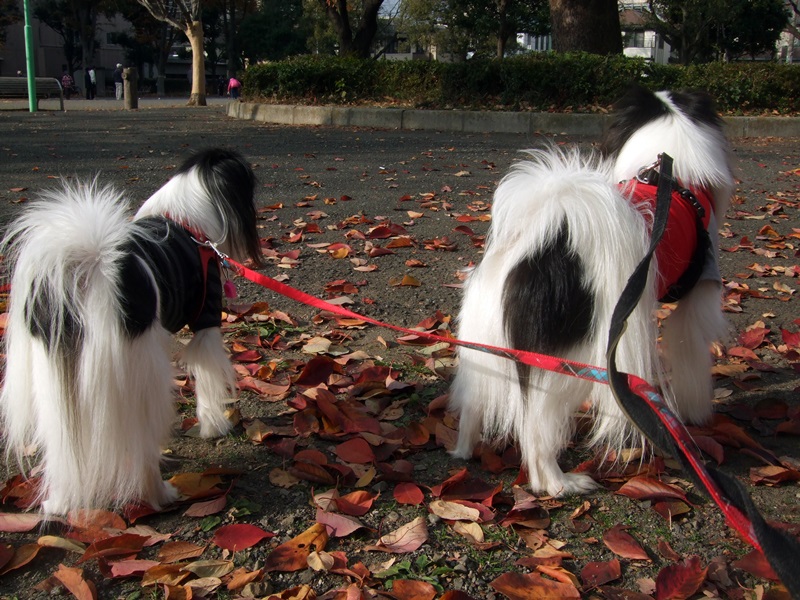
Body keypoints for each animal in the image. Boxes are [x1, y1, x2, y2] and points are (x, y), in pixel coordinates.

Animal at [0, 148, 262, 512]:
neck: (184, 222)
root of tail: (88, 268)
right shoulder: (206, 320)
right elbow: (208, 382)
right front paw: (215, 426)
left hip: (54, 379)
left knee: (63, 447)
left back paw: (61, 502)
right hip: (135, 377)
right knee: (140, 445)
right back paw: (158, 494)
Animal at [446, 85, 736, 496]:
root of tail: (541, 250)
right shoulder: (696, 302)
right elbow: (693, 366)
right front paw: (696, 419)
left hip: (483, 342)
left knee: (474, 402)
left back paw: (465, 450)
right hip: (566, 362)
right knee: (536, 434)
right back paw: (559, 483)